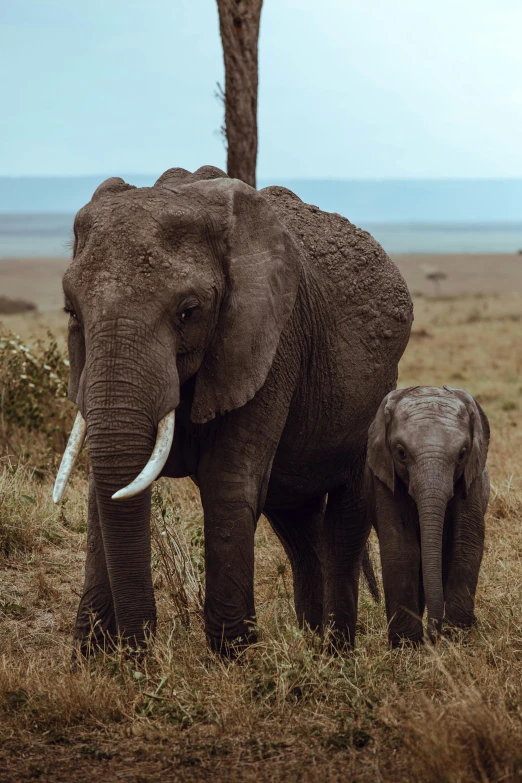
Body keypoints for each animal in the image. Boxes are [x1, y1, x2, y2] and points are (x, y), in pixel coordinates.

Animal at [52, 165, 410, 656]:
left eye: (189, 312)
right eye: (71, 311)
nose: (141, 647)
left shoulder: (269, 340)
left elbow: (228, 481)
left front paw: (233, 658)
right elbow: (102, 489)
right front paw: (95, 657)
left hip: (373, 401)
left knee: (344, 519)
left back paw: (334, 652)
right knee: (297, 525)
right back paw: (312, 644)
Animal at [366, 388, 488, 648]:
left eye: (462, 454)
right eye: (401, 453)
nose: (434, 636)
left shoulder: (471, 477)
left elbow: (466, 541)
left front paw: (459, 635)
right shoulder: (384, 478)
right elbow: (400, 546)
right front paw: (406, 646)